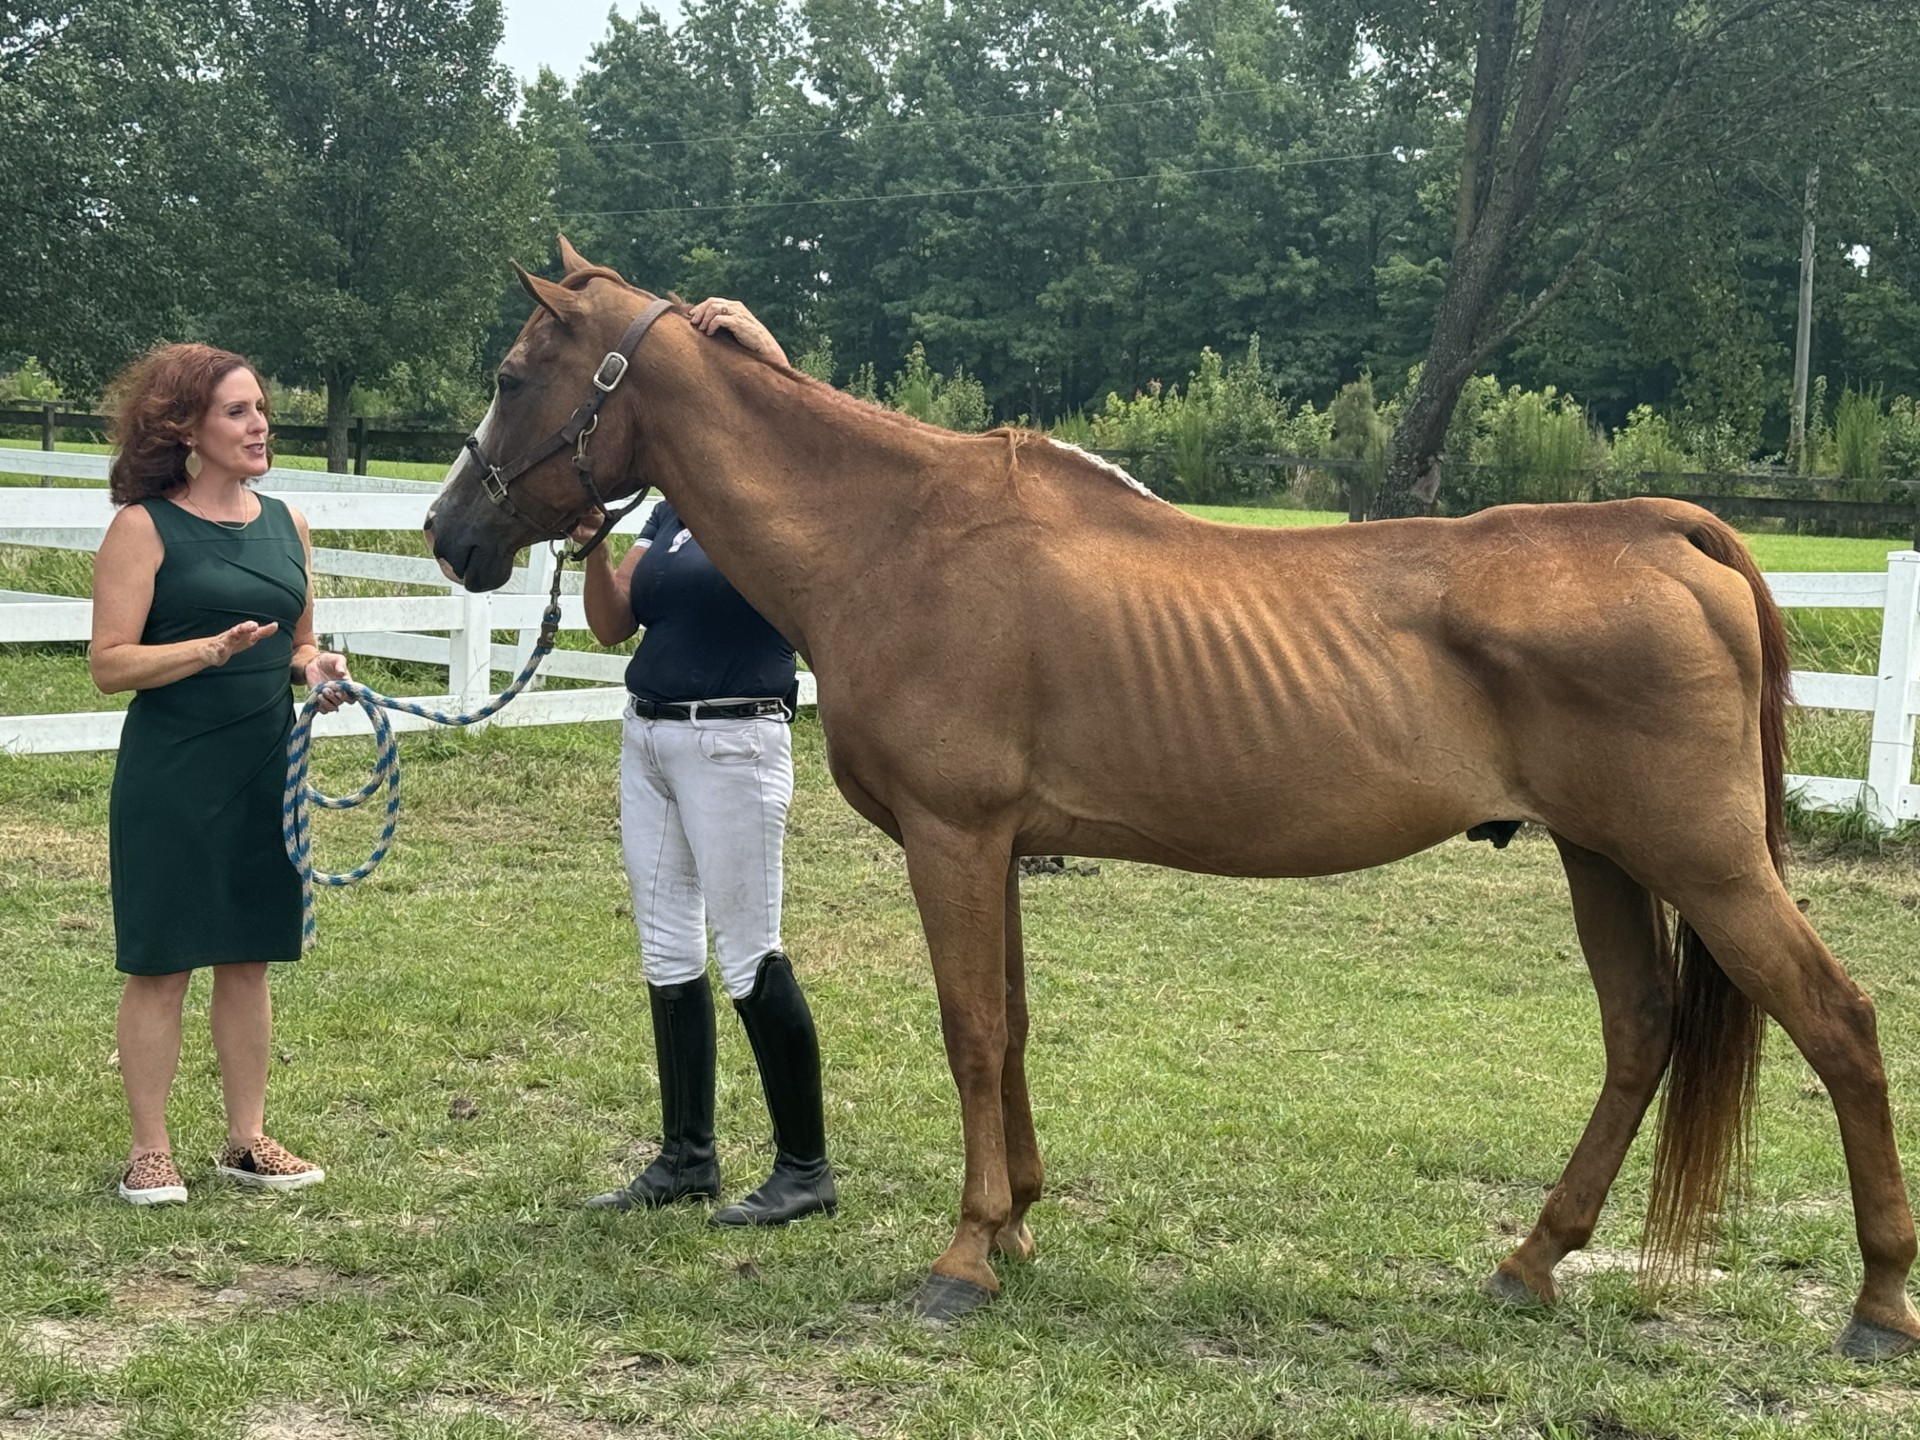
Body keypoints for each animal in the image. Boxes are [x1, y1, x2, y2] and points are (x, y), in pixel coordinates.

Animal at [424, 242, 1920, 1359]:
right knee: (1639, 1034)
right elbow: (1013, 1030)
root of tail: (1667, 529)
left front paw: (962, 1258)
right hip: (1603, 859)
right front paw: (1018, 1223)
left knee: (1839, 1023)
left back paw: (1878, 1302)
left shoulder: (952, 840)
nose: (449, 533)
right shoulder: (999, 850)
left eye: (511, 374)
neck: (893, 537)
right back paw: (1530, 1262)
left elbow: (971, 1033)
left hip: (1704, 861)